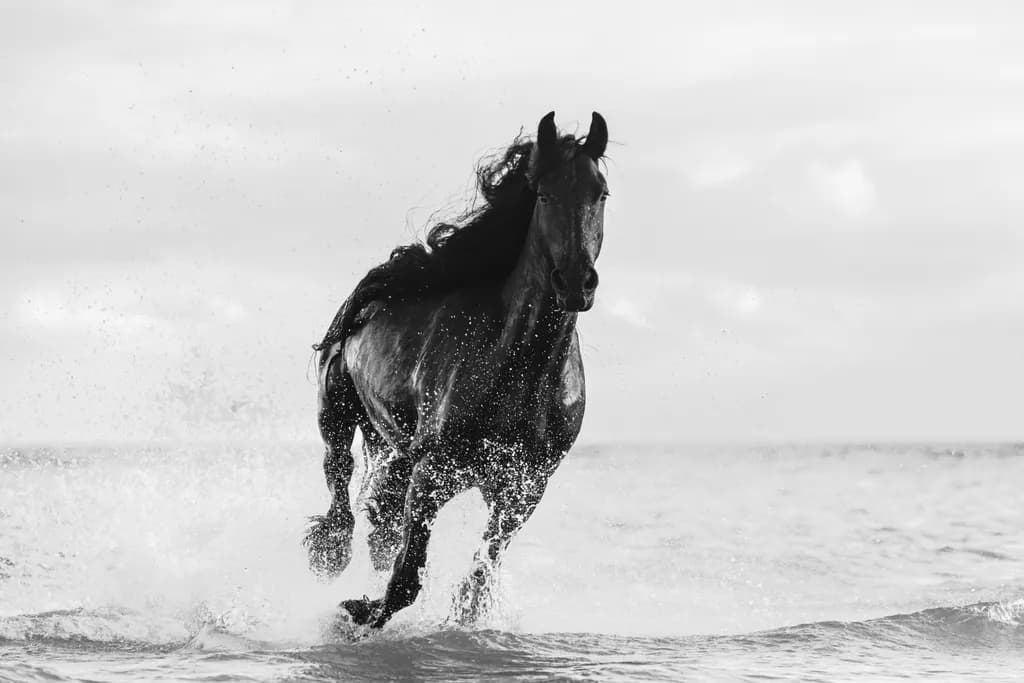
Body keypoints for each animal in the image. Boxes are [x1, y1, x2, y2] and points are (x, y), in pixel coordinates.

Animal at [303, 111, 610, 629]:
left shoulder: (522, 491)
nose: (575, 283)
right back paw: (328, 555)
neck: (517, 371)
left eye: (600, 193)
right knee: (340, 487)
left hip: (397, 448)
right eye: (543, 194)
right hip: (339, 414)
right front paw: (357, 612)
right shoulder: (433, 472)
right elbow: (407, 576)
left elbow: (476, 583)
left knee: (380, 522)